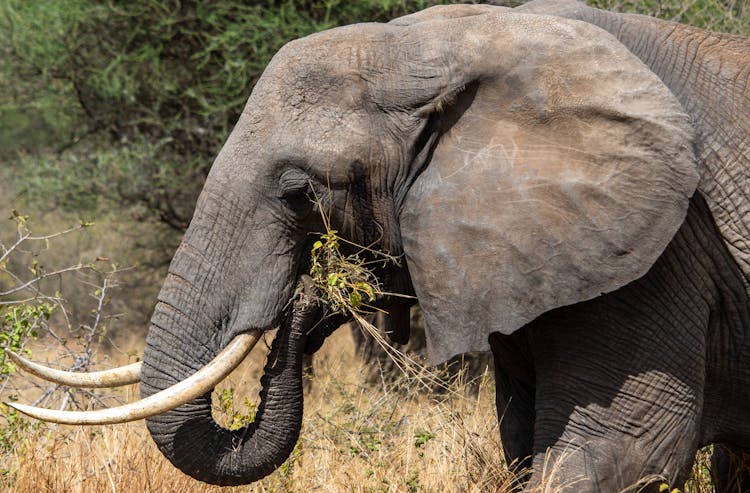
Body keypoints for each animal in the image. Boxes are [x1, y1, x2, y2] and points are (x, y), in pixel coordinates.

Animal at [7, 1, 750, 490]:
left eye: (300, 191)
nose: (314, 292)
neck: (456, 39)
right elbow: (523, 445)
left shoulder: (665, 248)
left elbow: (614, 457)